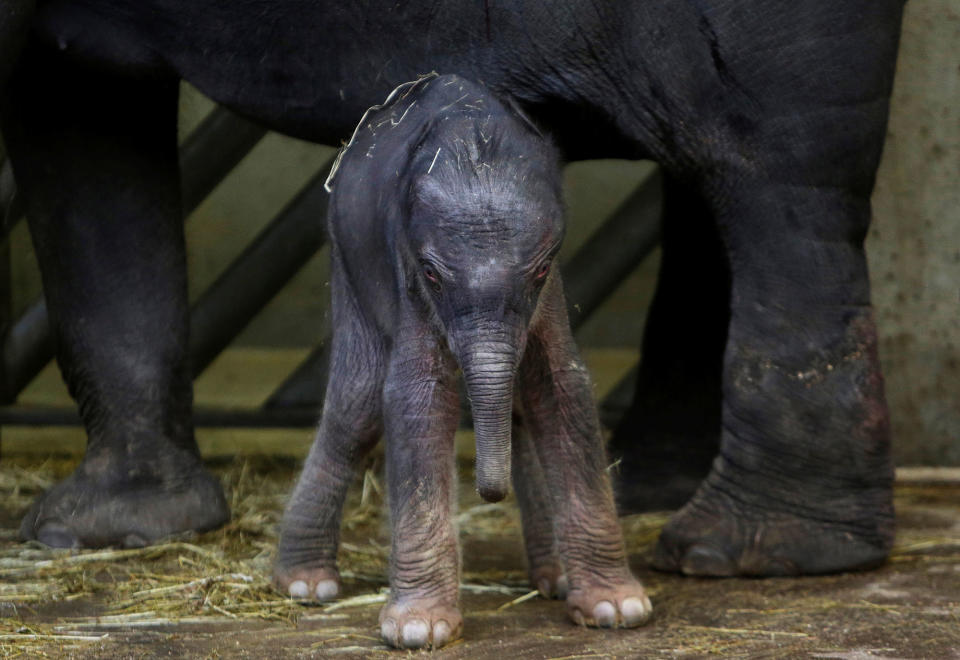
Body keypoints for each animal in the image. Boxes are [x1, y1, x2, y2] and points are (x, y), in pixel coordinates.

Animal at [0, 0, 904, 576]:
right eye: (431, 272)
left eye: (542, 269)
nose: (489, 491)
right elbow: (82, 108)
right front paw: (101, 534)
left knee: (772, 165)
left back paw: (745, 553)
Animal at [276, 75, 652, 648]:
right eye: (432, 274)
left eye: (541, 269)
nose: (490, 494)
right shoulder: (402, 264)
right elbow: (417, 396)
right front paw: (418, 629)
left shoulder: (550, 297)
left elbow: (561, 389)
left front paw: (616, 609)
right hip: (346, 256)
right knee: (356, 405)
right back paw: (304, 585)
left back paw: (556, 580)